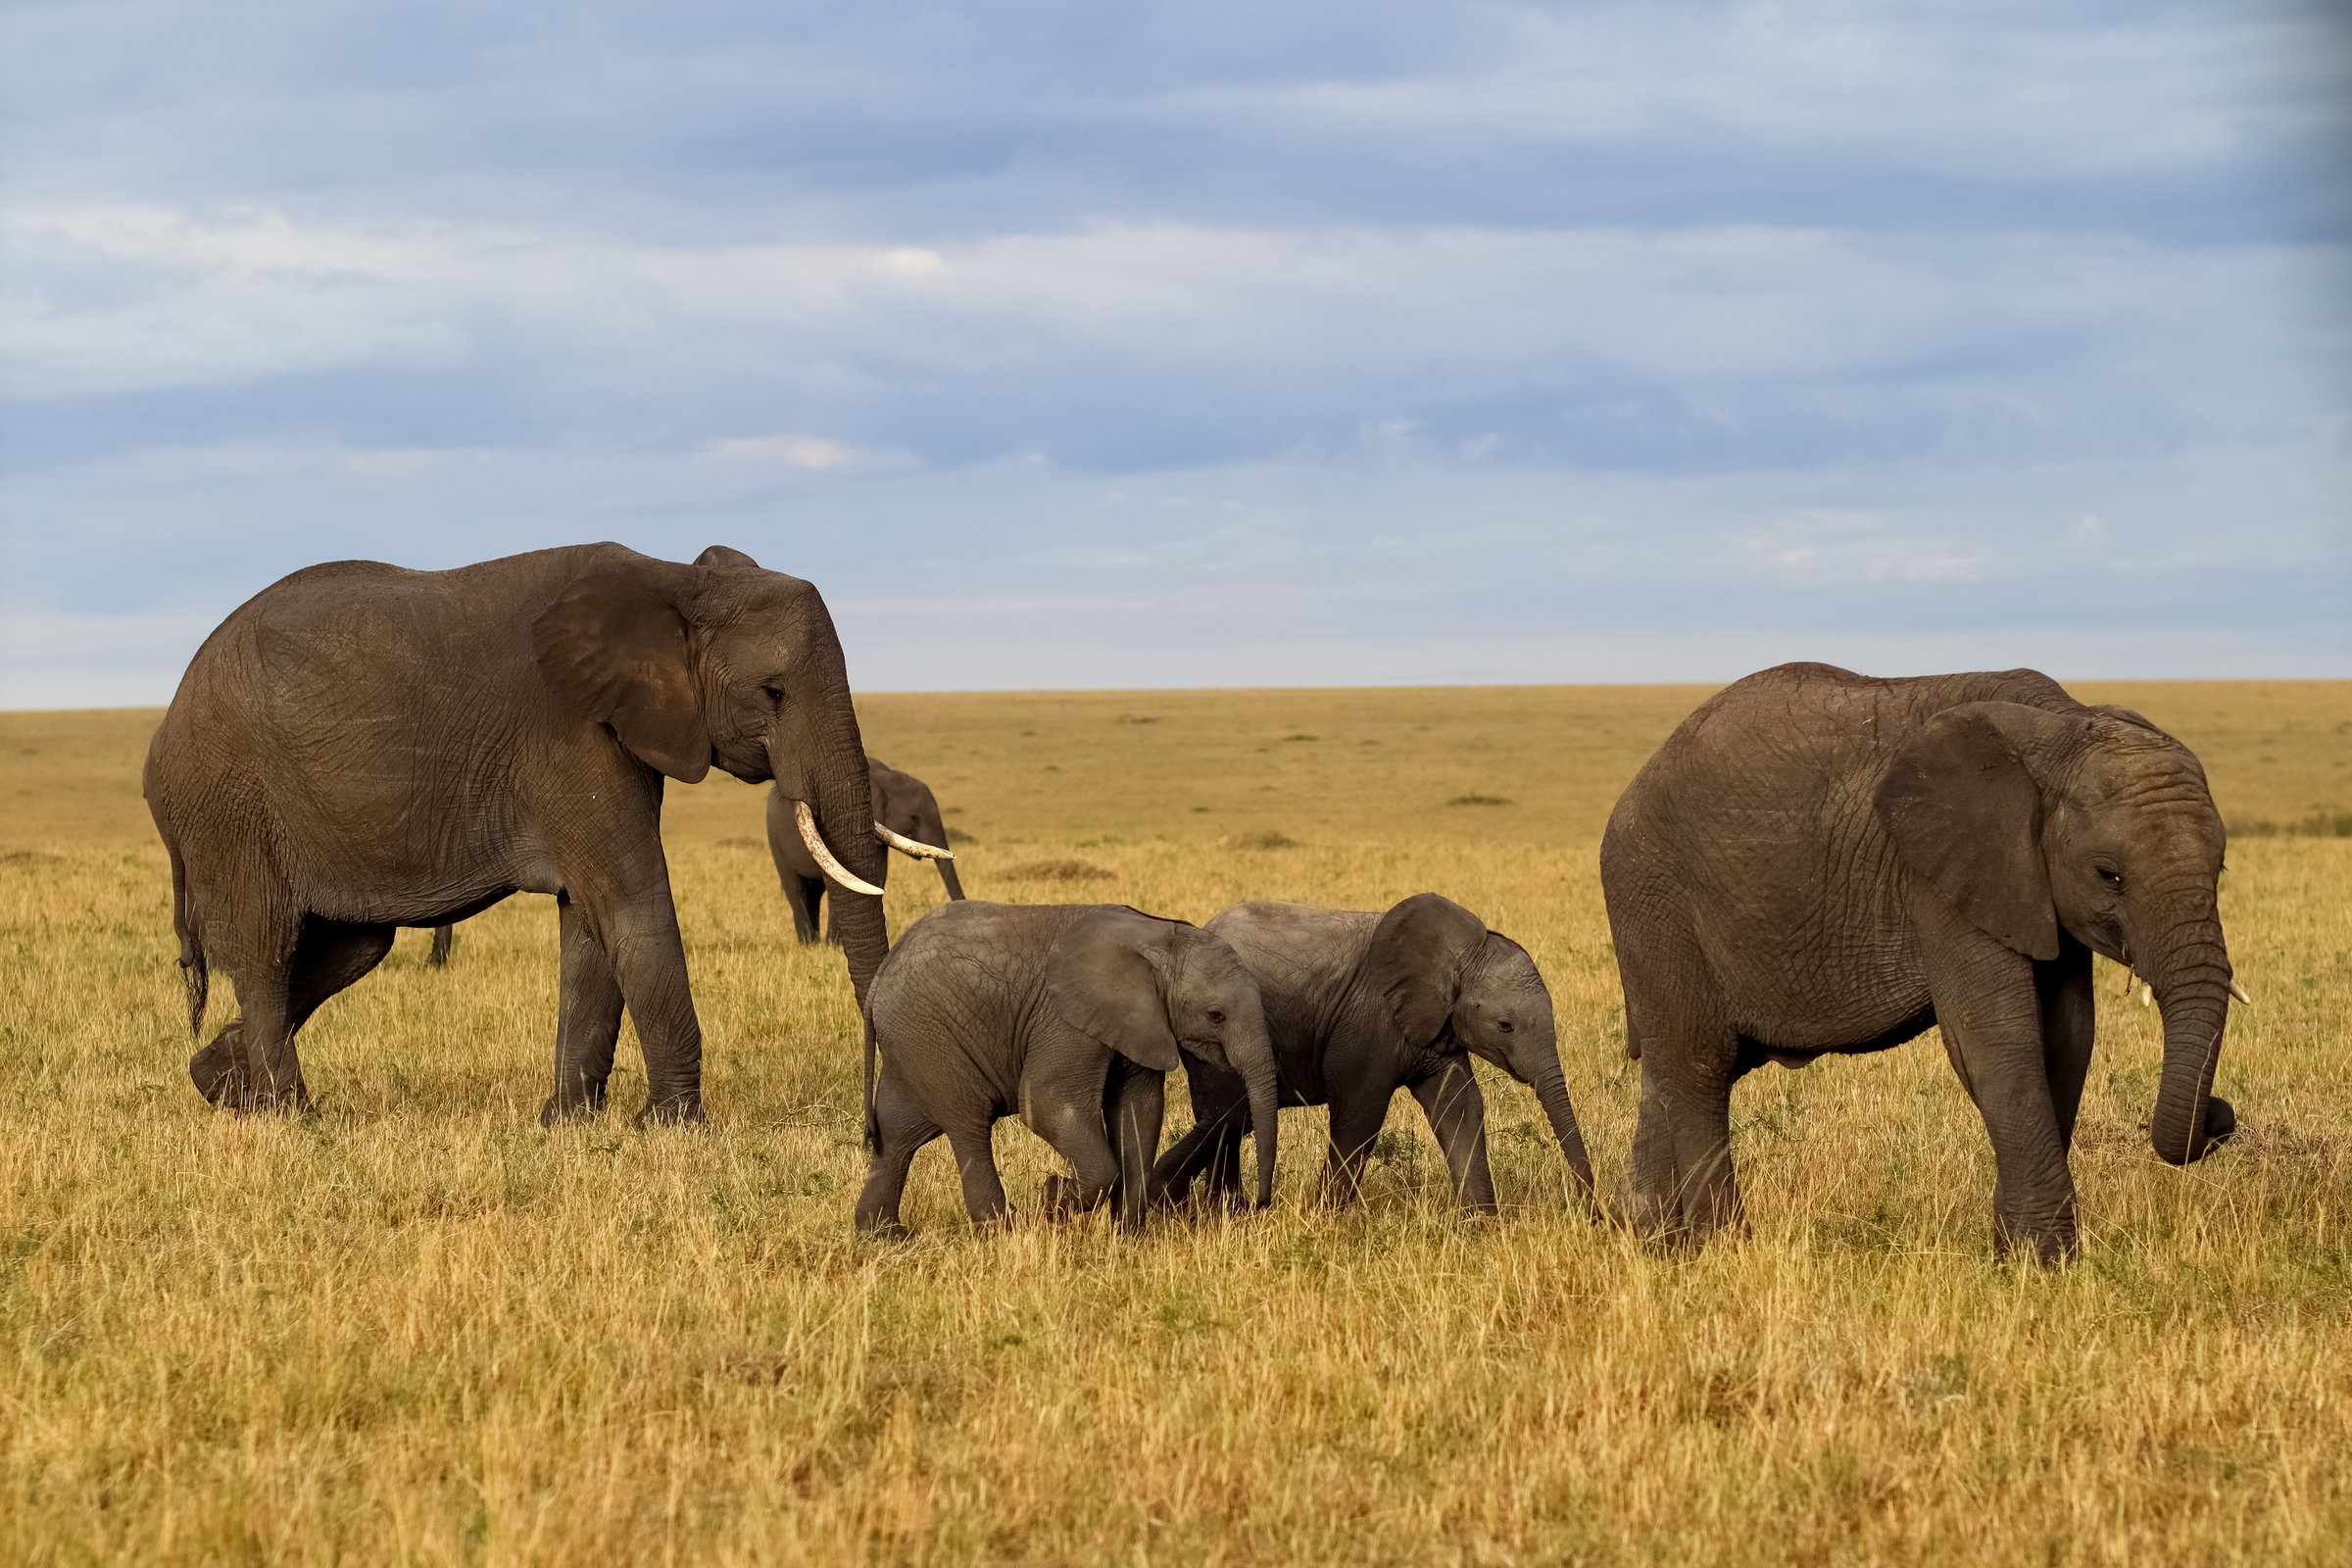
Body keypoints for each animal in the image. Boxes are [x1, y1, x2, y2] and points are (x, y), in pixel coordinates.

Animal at [144, 542, 937, 1123]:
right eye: (772, 692)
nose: (869, 1123)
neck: (676, 583)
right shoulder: (569, 736)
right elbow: (631, 901)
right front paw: (675, 1128)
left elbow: (589, 920)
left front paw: (568, 1123)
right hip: (229, 803)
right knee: (267, 949)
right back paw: (294, 1116)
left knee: (350, 947)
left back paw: (221, 1087)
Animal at [768, 757, 965, 943]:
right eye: (914, 817)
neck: (888, 778)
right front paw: (834, 945)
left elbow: (878, 877)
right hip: (775, 840)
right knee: (796, 888)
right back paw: (808, 944)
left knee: (813, 892)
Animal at [855, 900, 1281, 1235]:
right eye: (1216, 1015)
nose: (1258, 1206)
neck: (1157, 938)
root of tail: (881, 977)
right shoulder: (1064, 1020)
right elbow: (1047, 1105)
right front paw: (1051, 1197)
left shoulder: (1139, 1021)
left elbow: (1139, 1111)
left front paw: (1127, 1238)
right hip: (930, 1035)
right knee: (968, 1124)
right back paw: (1004, 1233)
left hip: (913, 1044)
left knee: (898, 1134)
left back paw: (883, 1236)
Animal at [1153, 894, 1597, 1216]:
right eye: (1505, 1025)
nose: (1595, 1214)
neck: (1457, 952)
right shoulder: (1370, 1022)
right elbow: (1360, 1115)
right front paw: (1328, 1221)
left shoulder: (1436, 1026)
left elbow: (1461, 1108)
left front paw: (1484, 1225)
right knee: (1229, 1114)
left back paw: (1226, 1213)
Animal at [1600, 662, 2245, 1263]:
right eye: (2109, 875)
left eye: (2220, 868)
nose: (2220, 1120)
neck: (2059, 725)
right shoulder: (1941, 877)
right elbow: (1996, 1040)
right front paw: (2043, 1265)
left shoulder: (2029, 886)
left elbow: (2068, 1037)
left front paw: (2012, 1255)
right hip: (1653, 897)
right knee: (1699, 1064)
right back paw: (1725, 1250)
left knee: (1671, 1067)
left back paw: (1654, 1246)